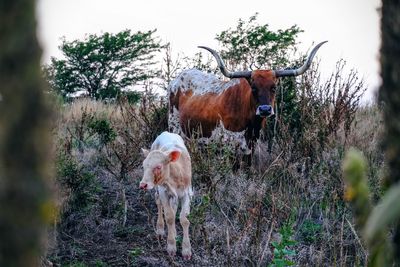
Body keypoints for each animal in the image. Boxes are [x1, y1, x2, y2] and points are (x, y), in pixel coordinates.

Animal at [139, 132, 192, 262]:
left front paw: (186, 250)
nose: (143, 185)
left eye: (158, 166)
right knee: (159, 202)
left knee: (174, 207)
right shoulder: (163, 191)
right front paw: (171, 246)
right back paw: (160, 229)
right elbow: (169, 217)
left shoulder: (187, 193)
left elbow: (184, 219)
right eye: (143, 166)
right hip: (159, 189)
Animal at [167, 41, 326, 165]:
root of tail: (177, 79)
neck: (250, 124)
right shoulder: (227, 149)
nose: (265, 109)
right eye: (254, 88)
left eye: (273, 87)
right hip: (175, 131)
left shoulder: (250, 149)